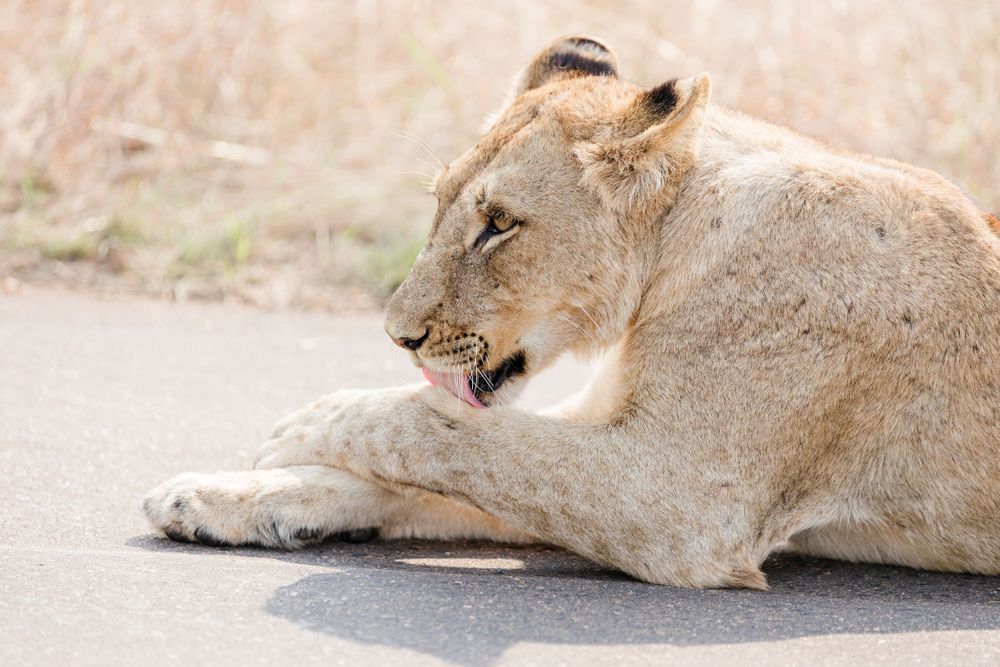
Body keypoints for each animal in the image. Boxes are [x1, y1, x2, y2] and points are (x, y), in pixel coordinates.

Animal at [143, 36, 1000, 589]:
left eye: (499, 224)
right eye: (440, 201)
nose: (398, 336)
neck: (675, 246)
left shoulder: (679, 499)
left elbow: (434, 429)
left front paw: (305, 422)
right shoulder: (609, 433)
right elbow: (448, 455)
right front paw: (221, 496)